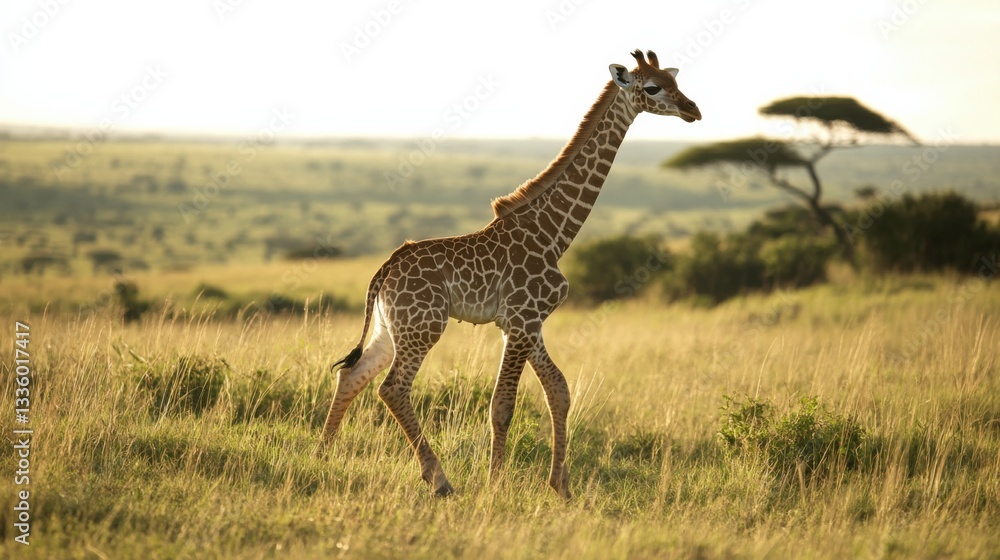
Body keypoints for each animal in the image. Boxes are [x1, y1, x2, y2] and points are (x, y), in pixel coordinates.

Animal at [322, 50, 700, 498]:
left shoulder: (525, 324)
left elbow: (559, 390)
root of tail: (384, 271)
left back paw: (321, 454)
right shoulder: (521, 321)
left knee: (352, 374)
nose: (693, 109)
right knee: (392, 387)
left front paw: (560, 486)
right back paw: (440, 479)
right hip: (424, 326)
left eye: (674, 81)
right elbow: (503, 404)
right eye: (654, 88)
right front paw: (497, 484)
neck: (554, 233)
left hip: (390, 327)